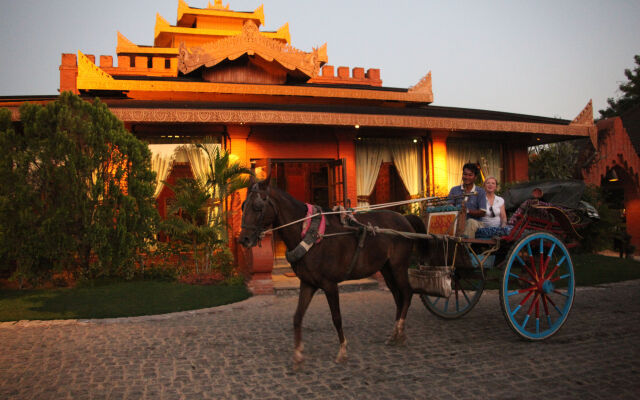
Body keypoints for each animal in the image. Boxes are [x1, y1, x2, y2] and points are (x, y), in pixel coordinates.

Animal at [236, 175, 424, 366]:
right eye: (243, 205)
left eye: (258, 206)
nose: (244, 239)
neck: (309, 233)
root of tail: (405, 219)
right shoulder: (308, 283)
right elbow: (297, 317)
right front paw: (298, 353)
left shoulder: (330, 284)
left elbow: (336, 318)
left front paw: (342, 351)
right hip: (386, 269)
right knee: (398, 296)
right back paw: (396, 334)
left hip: (398, 266)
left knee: (407, 293)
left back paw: (399, 329)